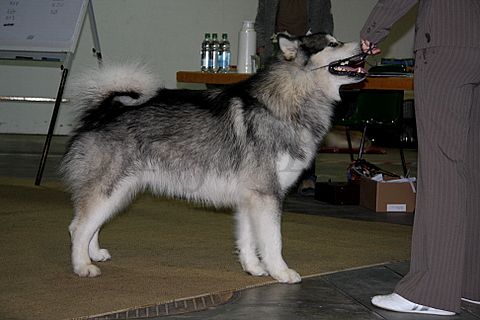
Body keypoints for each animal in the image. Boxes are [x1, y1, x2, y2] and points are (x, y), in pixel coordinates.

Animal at [61, 32, 368, 282]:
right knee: (77, 227)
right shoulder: (266, 195)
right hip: (110, 188)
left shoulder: (250, 198)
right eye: (333, 44)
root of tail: (102, 110)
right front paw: (280, 272)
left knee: (91, 224)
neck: (289, 98)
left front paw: (253, 268)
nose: (365, 45)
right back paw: (82, 266)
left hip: (121, 191)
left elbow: (248, 239)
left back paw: (94, 253)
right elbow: (273, 241)